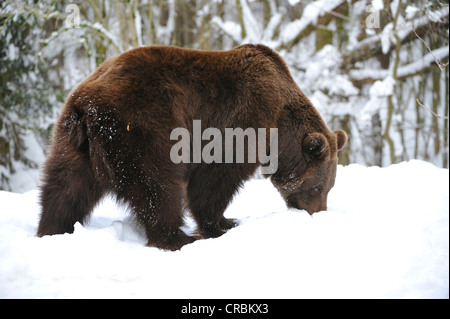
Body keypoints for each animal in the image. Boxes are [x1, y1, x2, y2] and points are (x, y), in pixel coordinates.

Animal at [37, 43, 348, 251]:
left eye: (328, 188)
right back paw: (178, 238)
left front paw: (227, 221)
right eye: (317, 187)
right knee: (158, 187)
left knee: (64, 188)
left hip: (73, 143)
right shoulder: (243, 120)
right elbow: (214, 179)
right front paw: (217, 226)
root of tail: (87, 103)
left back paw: (51, 230)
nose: (317, 212)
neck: (280, 128)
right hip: (143, 128)